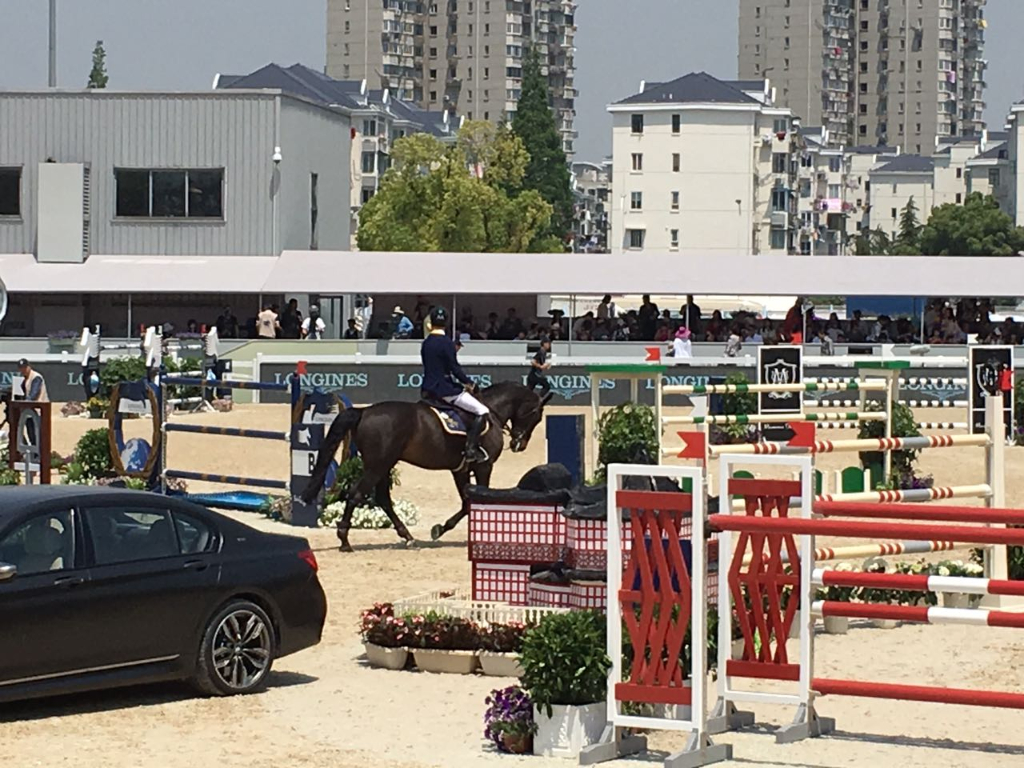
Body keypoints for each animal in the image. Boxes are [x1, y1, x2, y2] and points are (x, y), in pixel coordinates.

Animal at [299, 382, 552, 548]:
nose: (519, 444)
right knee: (356, 494)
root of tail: (365, 411)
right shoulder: (484, 467)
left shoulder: (460, 469)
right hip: (377, 465)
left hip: (384, 464)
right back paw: (344, 539)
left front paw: (440, 529)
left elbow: (466, 502)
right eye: (537, 415)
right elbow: (477, 500)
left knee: (382, 498)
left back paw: (407, 536)